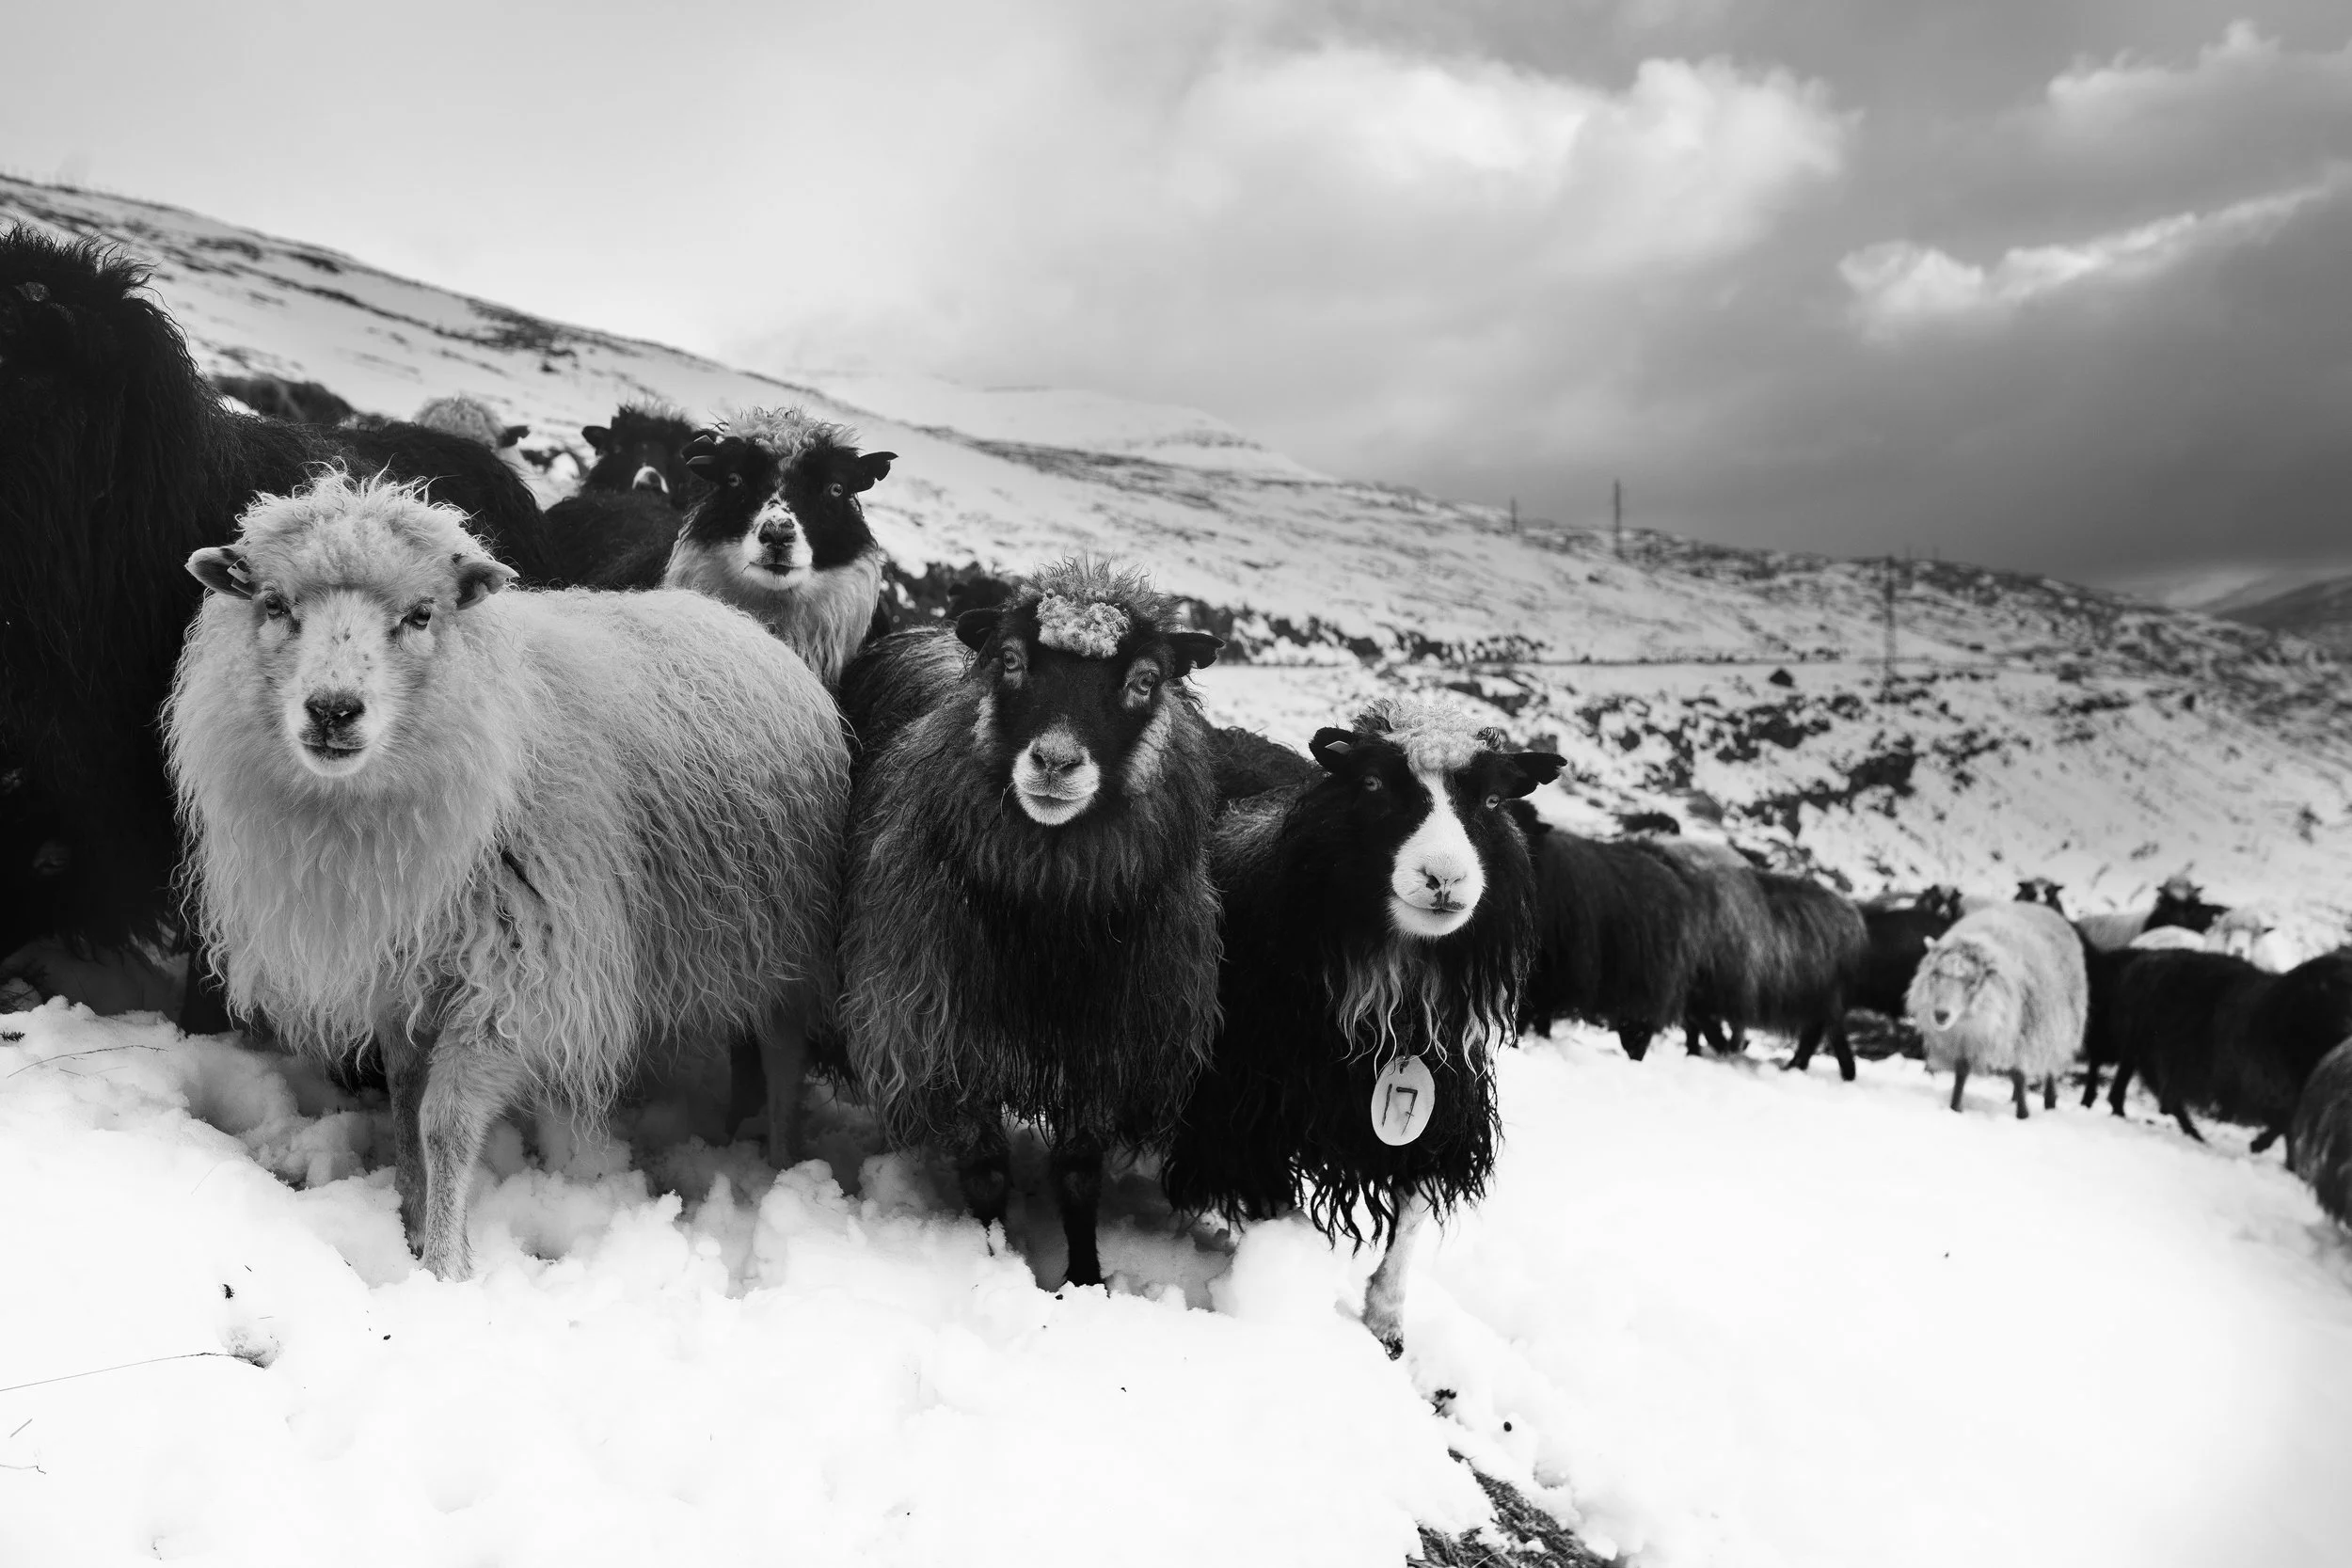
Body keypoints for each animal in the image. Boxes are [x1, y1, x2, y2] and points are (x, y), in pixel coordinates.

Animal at [165, 471, 847, 1278]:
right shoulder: (402, 973)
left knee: (781, 1048)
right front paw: (412, 1214)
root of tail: (736, 618)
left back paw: (779, 1161)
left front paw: (444, 1270)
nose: (332, 710)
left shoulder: (525, 976)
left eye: (422, 614)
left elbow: (447, 1121)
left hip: (783, 924)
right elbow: (404, 1100)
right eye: (273, 604)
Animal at [835, 560, 1224, 1288]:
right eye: (1011, 660)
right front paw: (993, 1263)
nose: (1055, 762)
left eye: (1144, 680)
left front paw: (1086, 1281)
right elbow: (986, 1171)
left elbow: (1078, 1173)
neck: (1048, 921)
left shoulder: (1107, 1044)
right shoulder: (947, 1031)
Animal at [1161, 698, 1564, 1354]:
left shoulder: (1440, 1104)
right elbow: (1277, 1205)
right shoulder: (1248, 1114)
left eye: (1492, 800)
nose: (1445, 878)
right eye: (1373, 784)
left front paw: (1387, 1323)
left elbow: (1411, 1218)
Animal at [1905, 902, 2087, 1118]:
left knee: (2051, 1065)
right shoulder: (1964, 1040)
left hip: (2058, 1027)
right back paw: (2015, 1098)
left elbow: (2019, 1074)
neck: (1969, 1018)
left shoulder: (2024, 1033)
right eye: (1936, 974)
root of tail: (2039, 906)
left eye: (1973, 982)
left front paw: (2023, 1115)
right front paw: (1955, 1107)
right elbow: (1961, 1072)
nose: (1941, 1015)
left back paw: (2049, 1102)